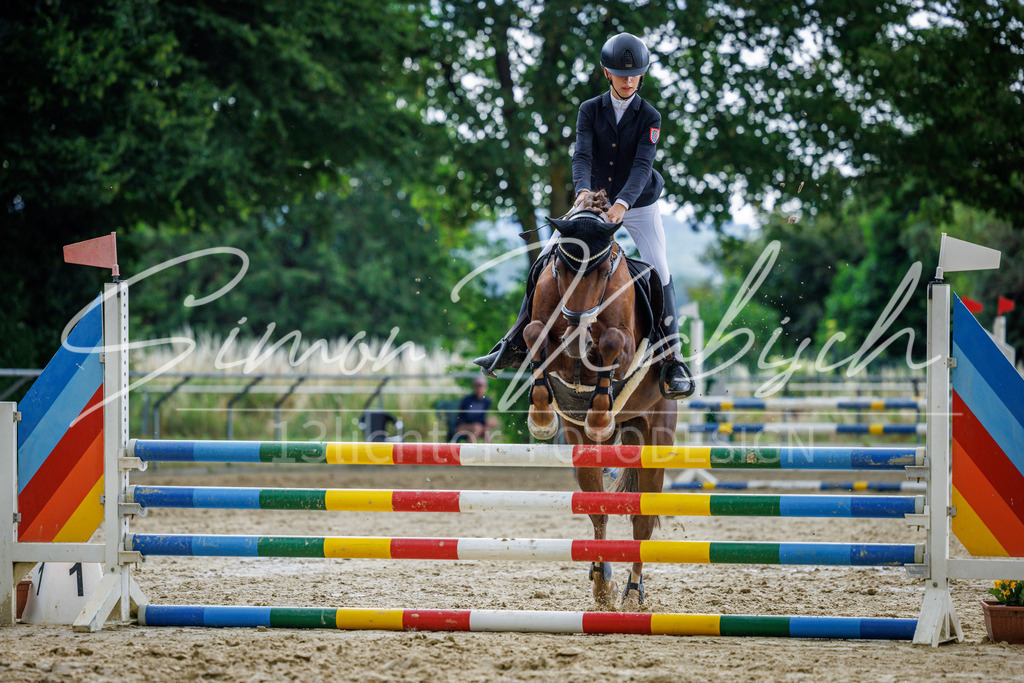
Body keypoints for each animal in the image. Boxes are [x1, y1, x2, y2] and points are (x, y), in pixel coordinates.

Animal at [522, 190, 678, 610]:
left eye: (603, 269)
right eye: (561, 266)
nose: (577, 330)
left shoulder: (621, 346)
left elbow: (610, 341)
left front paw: (597, 412)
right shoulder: (549, 336)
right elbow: (534, 332)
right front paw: (542, 417)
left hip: (655, 435)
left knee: (642, 520)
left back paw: (632, 591)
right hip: (586, 449)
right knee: (598, 511)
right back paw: (601, 580)